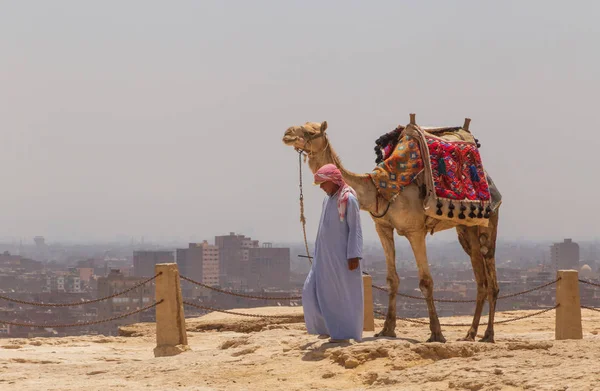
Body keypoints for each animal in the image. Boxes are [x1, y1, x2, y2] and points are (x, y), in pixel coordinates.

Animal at [284, 117, 500, 344]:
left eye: (310, 131)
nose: (287, 133)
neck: (380, 188)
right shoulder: (383, 227)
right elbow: (392, 279)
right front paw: (387, 329)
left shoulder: (415, 231)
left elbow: (426, 281)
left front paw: (436, 333)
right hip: (465, 229)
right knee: (481, 279)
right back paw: (471, 333)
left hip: (489, 222)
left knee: (490, 276)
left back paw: (488, 334)